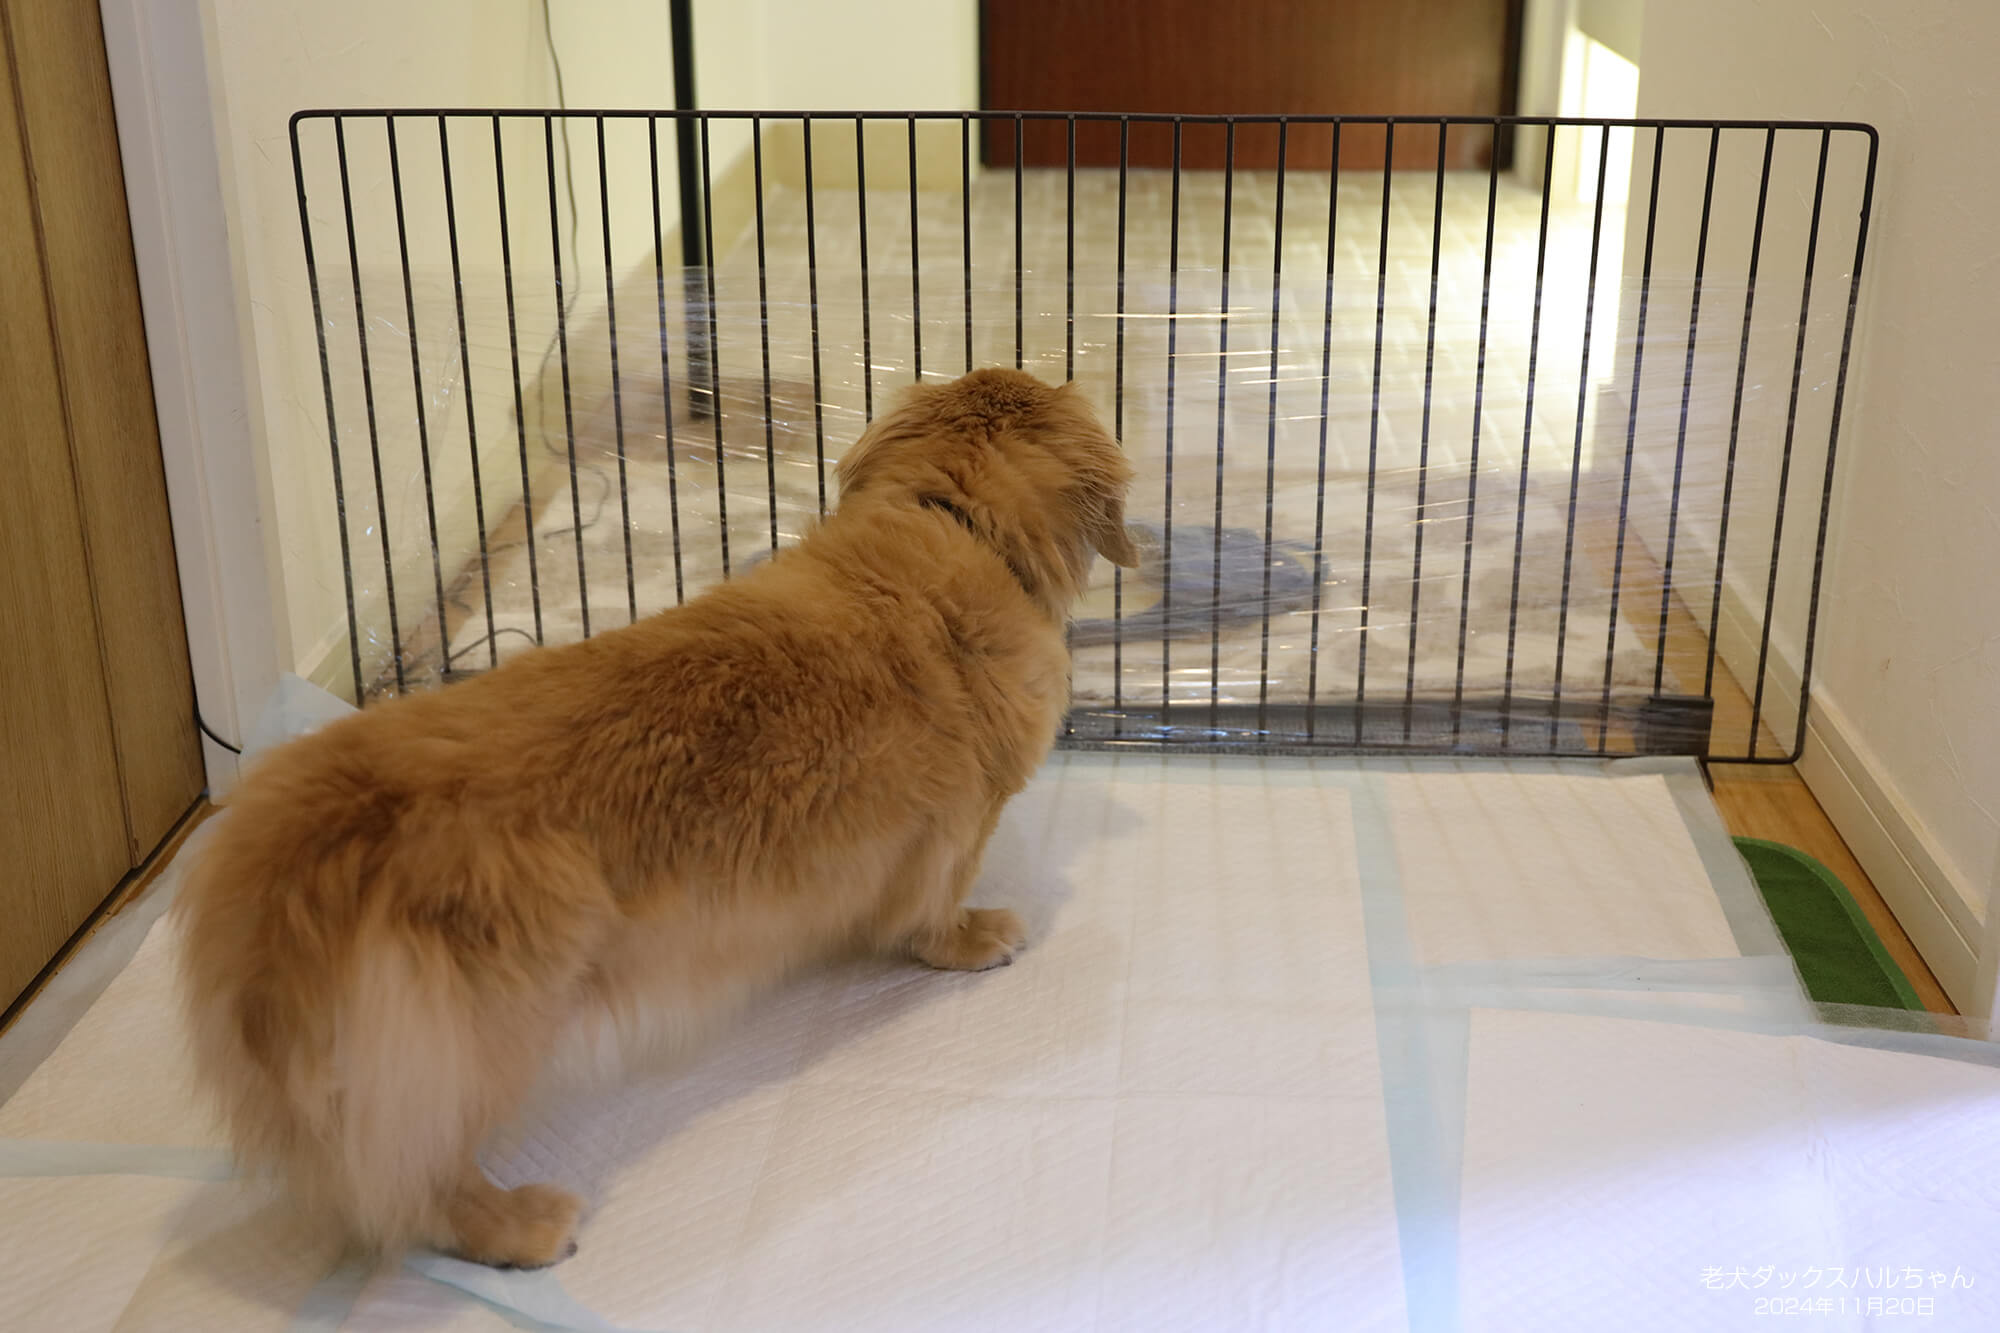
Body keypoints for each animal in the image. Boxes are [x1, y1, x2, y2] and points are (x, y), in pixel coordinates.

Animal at [174, 367, 1138, 1269]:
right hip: (484, 1031)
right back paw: (519, 1227)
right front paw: (975, 939)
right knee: (420, 1180)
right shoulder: (957, 825)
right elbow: (933, 909)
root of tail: (312, 835)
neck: (954, 521)